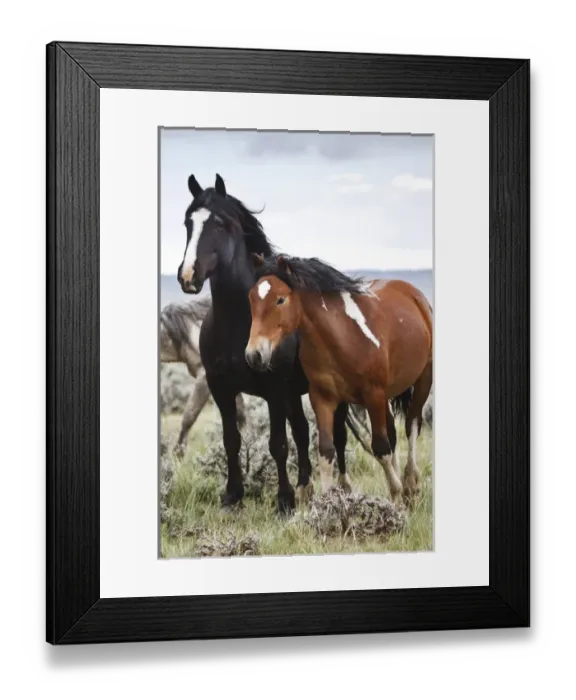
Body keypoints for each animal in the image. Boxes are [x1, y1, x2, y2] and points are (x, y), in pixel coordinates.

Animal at [176, 173, 360, 514]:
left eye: (219, 224)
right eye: (187, 223)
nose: (188, 276)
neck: (240, 322)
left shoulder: (274, 390)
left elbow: (278, 444)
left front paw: (284, 502)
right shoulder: (221, 388)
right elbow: (232, 440)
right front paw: (232, 497)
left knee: (338, 436)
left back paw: (342, 488)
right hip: (295, 393)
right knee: (302, 431)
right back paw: (305, 487)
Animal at [245, 253, 433, 507]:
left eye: (280, 299)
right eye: (251, 298)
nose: (254, 355)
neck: (342, 337)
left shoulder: (373, 395)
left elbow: (380, 447)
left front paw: (396, 494)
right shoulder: (323, 398)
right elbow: (326, 451)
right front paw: (325, 504)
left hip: (423, 381)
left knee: (412, 425)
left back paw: (410, 485)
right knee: (393, 432)